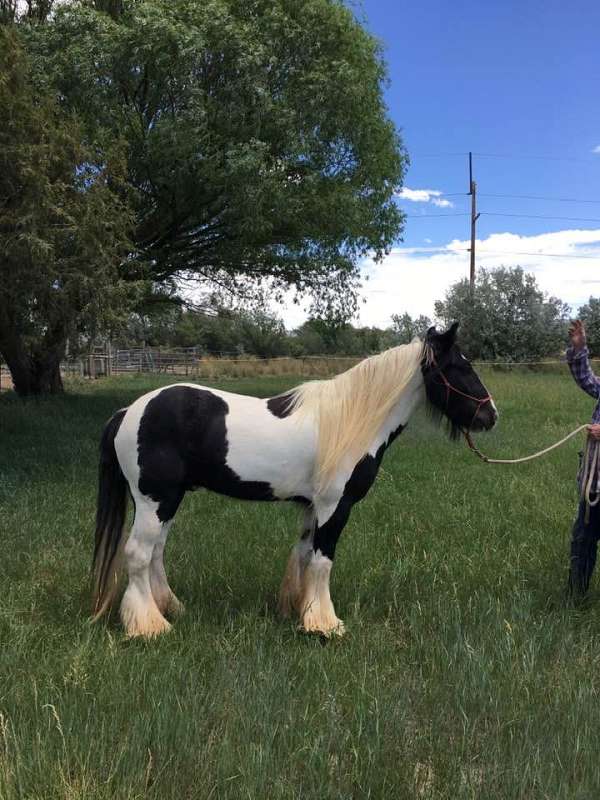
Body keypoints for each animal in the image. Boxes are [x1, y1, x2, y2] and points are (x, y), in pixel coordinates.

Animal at [92, 322, 496, 640]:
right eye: (460, 367)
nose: (490, 415)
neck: (352, 422)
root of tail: (128, 412)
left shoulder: (313, 507)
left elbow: (304, 554)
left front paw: (300, 609)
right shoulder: (336, 506)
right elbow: (322, 561)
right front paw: (325, 625)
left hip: (167, 500)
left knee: (156, 552)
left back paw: (169, 608)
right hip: (154, 500)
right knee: (139, 553)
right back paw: (149, 626)